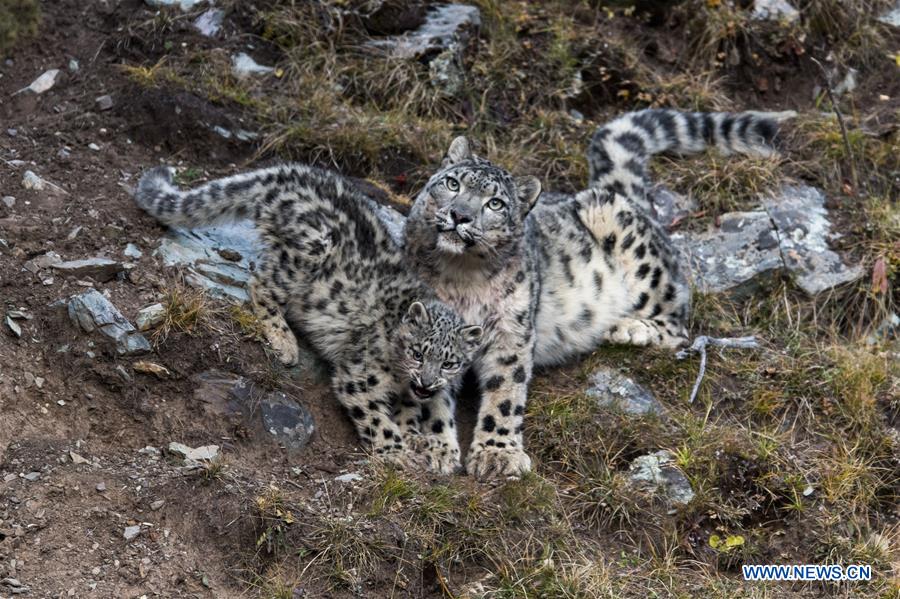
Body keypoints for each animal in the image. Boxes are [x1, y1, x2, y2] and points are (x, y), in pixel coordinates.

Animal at [132, 164, 486, 474]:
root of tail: (287, 172)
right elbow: (377, 418)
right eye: (417, 353)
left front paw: (416, 439)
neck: (400, 377)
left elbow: (408, 413)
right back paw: (284, 341)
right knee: (260, 284)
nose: (427, 382)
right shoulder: (358, 376)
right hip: (310, 247)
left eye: (450, 363)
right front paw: (396, 452)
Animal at [408, 109, 796, 478]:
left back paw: (628, 328)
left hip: (627, 241)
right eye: (452, 183)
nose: (460, 215)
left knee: (678, 322)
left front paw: (497, 455)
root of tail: (623, 196)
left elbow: (505, 392)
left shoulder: (510, 332)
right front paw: (434, 448)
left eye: (495, 204)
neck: (464, 277)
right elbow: (430, 393)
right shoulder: (431, 331)